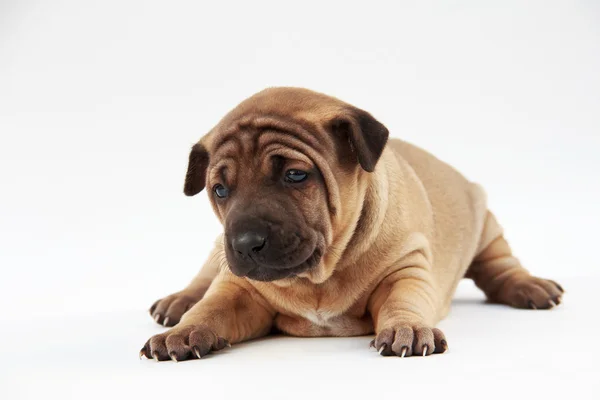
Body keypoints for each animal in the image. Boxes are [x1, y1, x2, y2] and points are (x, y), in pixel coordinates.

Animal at [139, 88, 564, 362]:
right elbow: (212, 307)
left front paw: (408, 327)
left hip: (486, 224)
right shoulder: (238, 289)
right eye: (220, 190)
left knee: (500, 265)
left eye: (295, 175)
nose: (245, 242)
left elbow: (403, 300)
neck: (318, 278)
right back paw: (179, 301)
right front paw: (184, 330)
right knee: (204, 277)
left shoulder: (406, 269)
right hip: (218, 251)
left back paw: (531, 286)